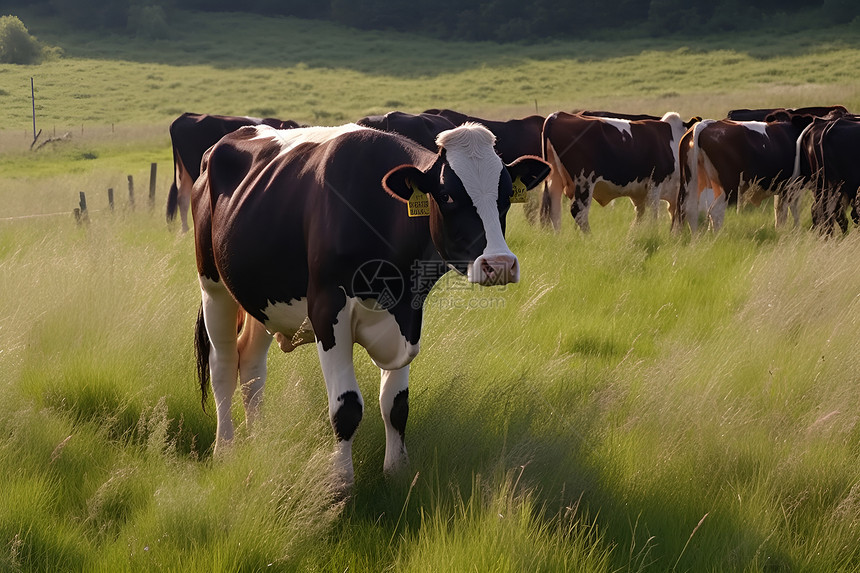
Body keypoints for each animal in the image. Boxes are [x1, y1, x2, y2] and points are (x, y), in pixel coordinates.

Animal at [191, 120, 548, 488]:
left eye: (505, 195)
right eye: (448, 195)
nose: (500, 264)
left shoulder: (408, 314)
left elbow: (396, 404)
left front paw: (396, 472)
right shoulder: (326, 308)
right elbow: (346, 407)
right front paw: (340, 482)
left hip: (260, 296)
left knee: (251, 365)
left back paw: (259, 440)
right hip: (213, 285)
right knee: (223, 365)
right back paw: (225, 449)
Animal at [540, 110, 696, 231]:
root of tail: (557, 115)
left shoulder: (641, 193)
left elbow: (641, 216)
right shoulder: (655, 183)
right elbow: (653, 215)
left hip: (555, 180)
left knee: (554, 211)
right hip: (584, 180)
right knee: (578, 212)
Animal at [676, 118, 816, 232]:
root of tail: (705, 124)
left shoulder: (783, 188)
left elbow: (780, 211)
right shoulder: (793, 186)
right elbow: (792, 210)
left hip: (693, 182)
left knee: (690, 209)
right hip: (729, 187)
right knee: (715, 211)